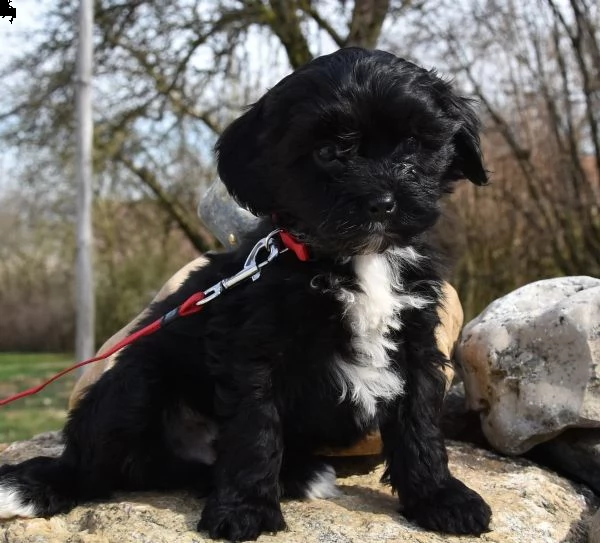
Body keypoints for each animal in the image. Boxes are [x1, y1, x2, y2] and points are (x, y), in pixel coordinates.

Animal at [0, 49, 492, 540]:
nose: (382, 203)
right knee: (92, 463)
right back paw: (39, 486)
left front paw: (440, 498)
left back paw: (298, 474)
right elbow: (254, 430)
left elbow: (419, 424)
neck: (351, 258)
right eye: (326, 152)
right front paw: (244, 509)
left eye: (412, 142)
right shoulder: (254, 349)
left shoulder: (416, 340)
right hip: (135, 382)